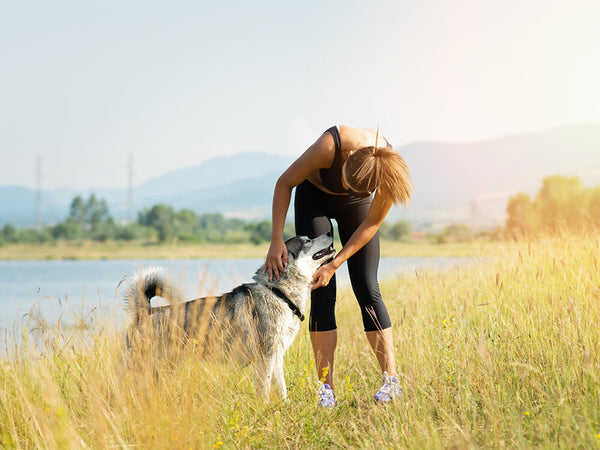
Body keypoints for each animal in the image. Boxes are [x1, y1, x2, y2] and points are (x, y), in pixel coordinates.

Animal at [120, 234, 338, 400]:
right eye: (307, 241)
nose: (329, 232)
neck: (279, 293)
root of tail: (145, 312)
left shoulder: (276, 357)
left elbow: (281, 389)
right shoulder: (265, 358)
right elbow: (265, 391)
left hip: (163, 369)